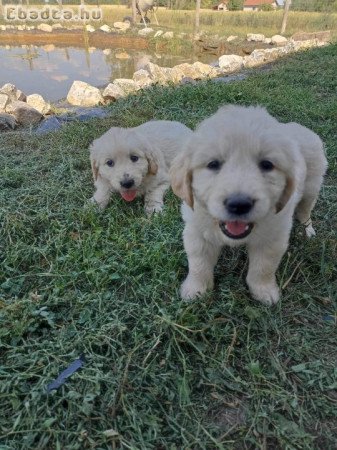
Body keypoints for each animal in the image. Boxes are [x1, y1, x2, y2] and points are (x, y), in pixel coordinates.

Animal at [169, 104, 326, 306]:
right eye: (213, 164)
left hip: (312, 187)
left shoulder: (272, 238)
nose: (239, 204)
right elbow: (198, 264)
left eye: (267, 164)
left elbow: (263, 268)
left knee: (306, 210)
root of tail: (299, 127)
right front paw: (195, 289)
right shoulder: (197, 232)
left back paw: (308, 231)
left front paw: (264, 291)